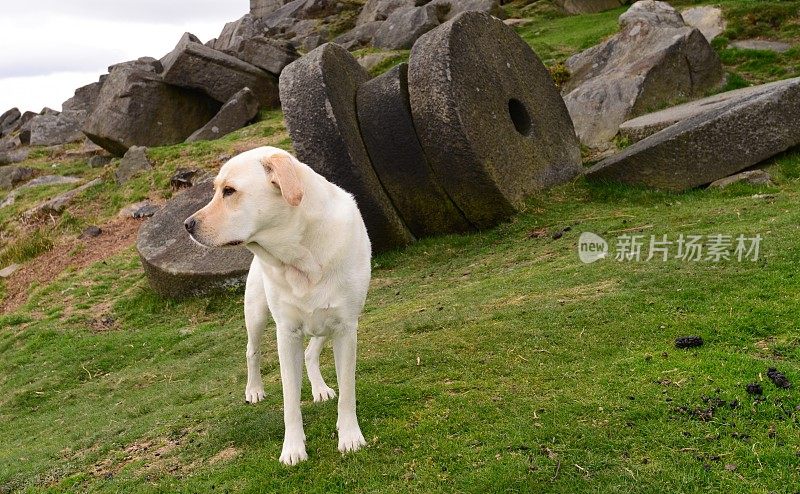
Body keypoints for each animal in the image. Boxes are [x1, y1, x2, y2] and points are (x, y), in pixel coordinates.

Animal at [184, 145, 368, 466]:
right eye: (217, 190)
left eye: (229, 191)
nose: (187, 225)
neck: (301, 256)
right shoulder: (287, 334)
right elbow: (290, 400)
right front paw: (293, 448)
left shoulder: (346, 328)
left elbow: (347, 392)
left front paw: (349, 437)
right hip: (256, 315)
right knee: (252, 352)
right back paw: (254, 390)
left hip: (326, 325)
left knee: (311, 353)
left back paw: (320, 389)